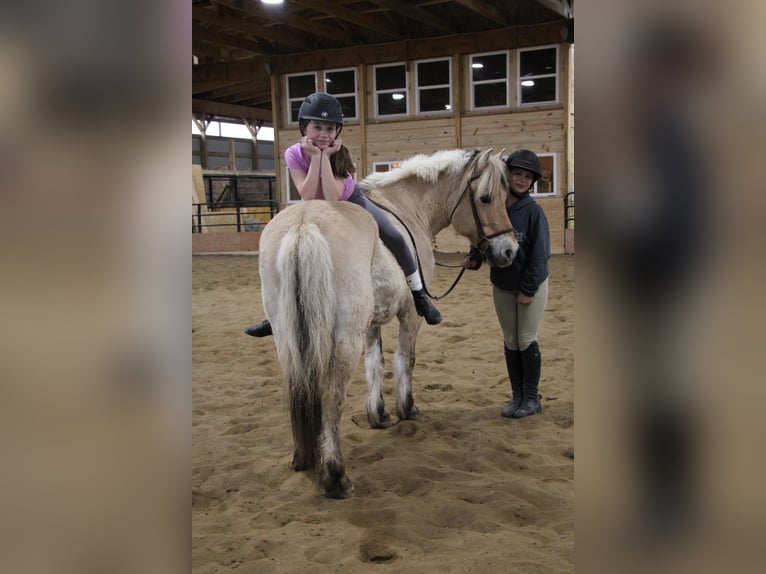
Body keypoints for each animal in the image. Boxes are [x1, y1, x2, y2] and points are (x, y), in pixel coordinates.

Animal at [260, 148, 520, 500]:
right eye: (486, 198)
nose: (509, 250)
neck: (407, 206)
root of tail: (304, 226)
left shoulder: (371, 322)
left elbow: (375, 362)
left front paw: (378, 414)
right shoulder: (409, 314)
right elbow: (404, 360)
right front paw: (406, 409)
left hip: (288, 338)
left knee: (298, 390)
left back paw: (304, 459)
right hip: (344, 338)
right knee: (331, 396)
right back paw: (335, 475)